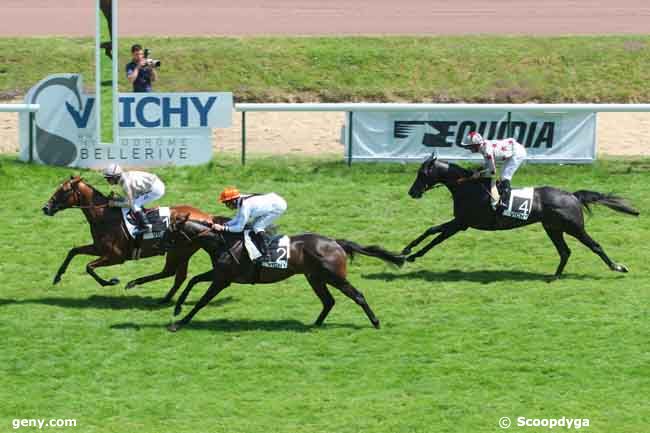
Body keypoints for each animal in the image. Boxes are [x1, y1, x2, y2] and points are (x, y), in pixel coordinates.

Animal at [43, 175, 220, 300]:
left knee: (170, 273)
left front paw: (110, 282)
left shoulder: (116, 256)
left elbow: (89, 267)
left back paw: (135, 284)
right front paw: (57, 277)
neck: (104, 217)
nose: (46, 208)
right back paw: (164, 298)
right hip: (182, 251)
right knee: (177, 276)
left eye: (63, 191)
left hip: (178, 250)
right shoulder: (99, 249)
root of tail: (207, 216)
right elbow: (73, 251)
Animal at [163, 213, 404, 330]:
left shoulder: (223, 279)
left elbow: (202, 301)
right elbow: (193, 280)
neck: (223, 242)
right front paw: (177, 308)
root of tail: (336, 242)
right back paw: (315, 325)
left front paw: (180, 322)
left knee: (357, 295)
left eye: (170, 231)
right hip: (315, 277)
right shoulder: (221, 274)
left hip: (334, 276)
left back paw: (375, 322)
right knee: (328, 301)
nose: (161, 245)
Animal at [400, 154, 636, 278]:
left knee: (594, 246)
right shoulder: (460, 222)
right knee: (565, 252)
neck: (467, 187)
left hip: (574, 228)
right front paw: (406, 251)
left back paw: (617, 267)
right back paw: (555, 276)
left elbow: (436, 239)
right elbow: (430, 230)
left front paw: (411, 255)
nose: (412, 192)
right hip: (553, 228)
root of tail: (572, 195)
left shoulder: (462, 223)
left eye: (422, 174)